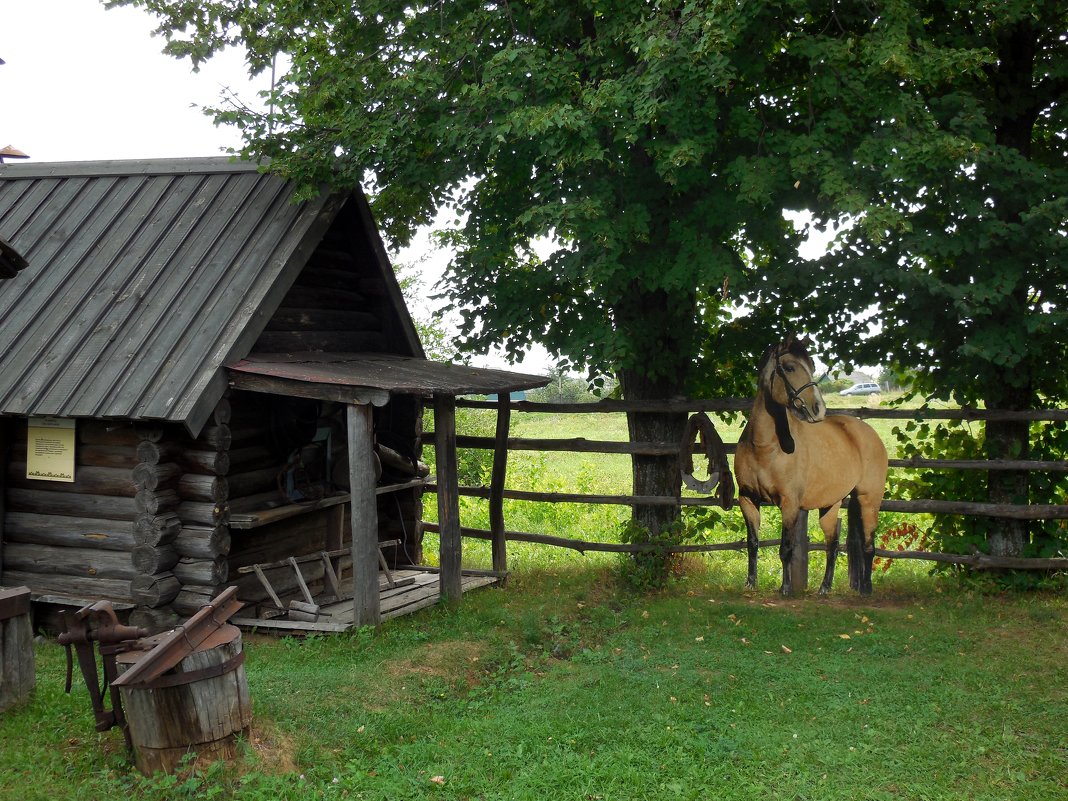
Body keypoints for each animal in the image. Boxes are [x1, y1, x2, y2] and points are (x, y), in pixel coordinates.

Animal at [734, 339, 892, 598]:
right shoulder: (747, 499)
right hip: (831, 504)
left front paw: (786, 588)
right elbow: (752, 543)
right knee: (833, 544)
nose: (818, 408)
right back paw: (825, 587)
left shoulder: (790, 504)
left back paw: (866, 589)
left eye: (810, 367)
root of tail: (867, 432)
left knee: (869, 544)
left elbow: (786, 548)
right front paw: (750, 583)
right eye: (789, 368)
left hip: (869, 499)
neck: (764, 446)